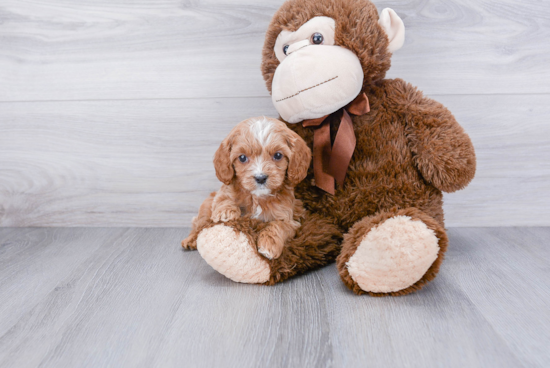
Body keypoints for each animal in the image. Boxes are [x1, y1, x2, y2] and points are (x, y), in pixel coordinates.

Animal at [181, 117, 310, 258]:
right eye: (242, 157)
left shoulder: (290, 219)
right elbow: (223, 198)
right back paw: (191, 240)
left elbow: (279, 225)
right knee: (200, 223)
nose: (260, 178)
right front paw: (225, 212)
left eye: (278, 155)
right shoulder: (223, 191)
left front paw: (268, 245)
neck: (257, 197)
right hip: (206, 205)